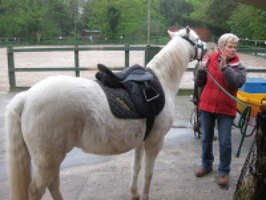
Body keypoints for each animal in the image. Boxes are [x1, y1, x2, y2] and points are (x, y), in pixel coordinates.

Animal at [5, 27, 206, 200]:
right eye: (197, 39)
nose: (206, 48)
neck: (162, 80)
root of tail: (27, 96)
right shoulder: (154, 142)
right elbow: (148, 174)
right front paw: (144, 195)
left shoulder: (141, 141)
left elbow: (136, 168)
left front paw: (134, 192)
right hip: (48, 159)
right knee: (38, 189)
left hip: (50, 159)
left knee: (53, 184)